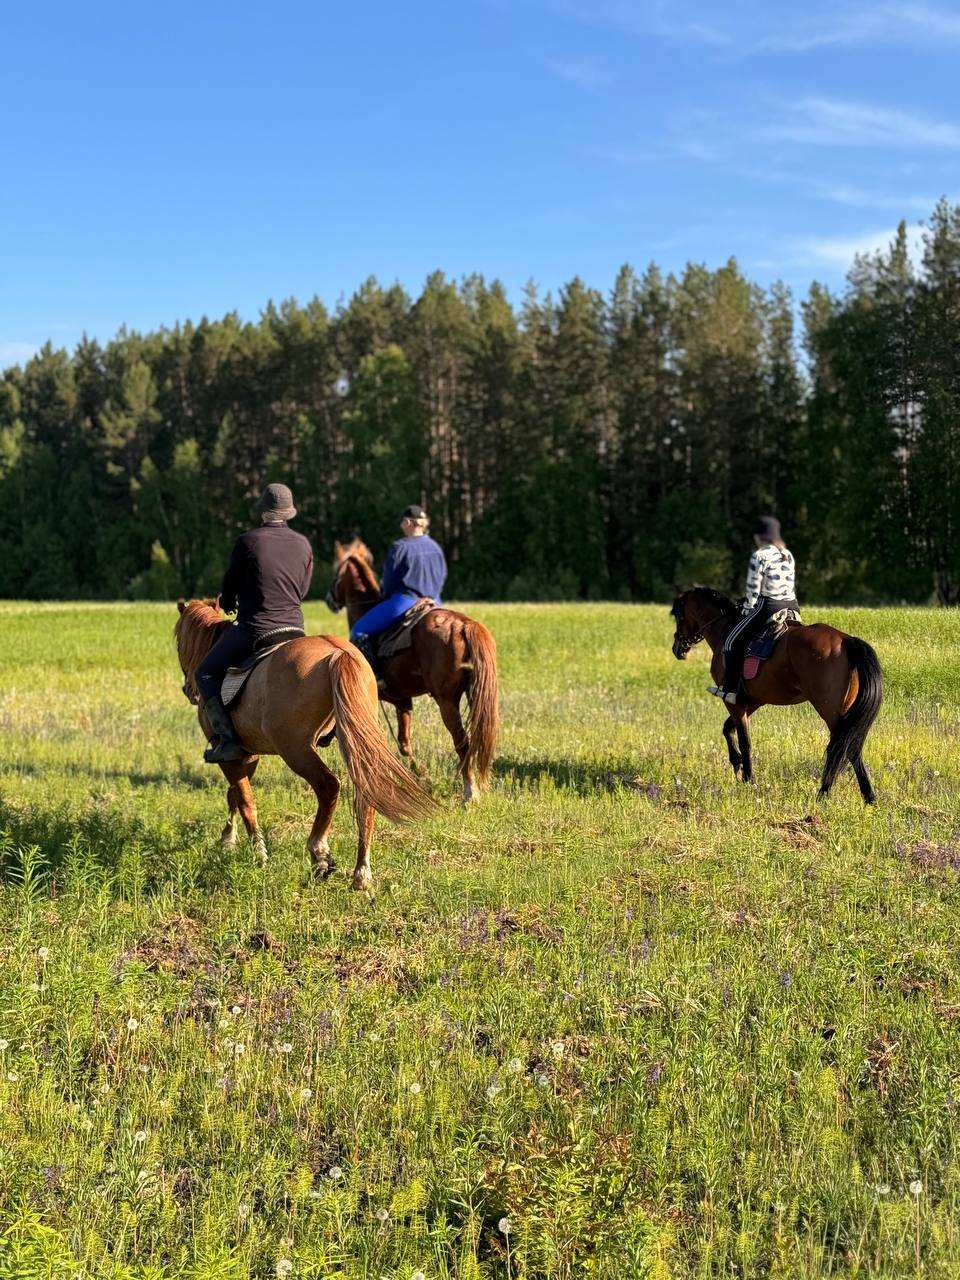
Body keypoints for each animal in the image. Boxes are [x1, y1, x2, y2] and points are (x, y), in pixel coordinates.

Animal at [175, 599, 435, 890]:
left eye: (178, 641)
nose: (188, 690)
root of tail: (338, 653)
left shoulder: (230, 754)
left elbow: (243, 800)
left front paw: (254, 852)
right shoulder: (248, 754)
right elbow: (235, 795)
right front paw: (228, 841)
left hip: (296, 750)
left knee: (329, 786)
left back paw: (319, 854)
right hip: (354, 740)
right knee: (366, 793)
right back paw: (361, 874)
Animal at [327, 537, 499, 798]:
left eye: (337, 574)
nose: (329, 599)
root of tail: (464, 625)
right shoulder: (403, 700)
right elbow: (404, 743)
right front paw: (420, 776)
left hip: (447, 701)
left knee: (462, 742)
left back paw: (470, 793)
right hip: (474, 694)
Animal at [670, 586, 885, 803]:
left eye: (679, 616)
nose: (677, 649)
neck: (724, 629)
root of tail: (845, 639)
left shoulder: (734, 702)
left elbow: (744, 740)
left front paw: (747, 777)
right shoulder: (753, 701)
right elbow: (728, 729)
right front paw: (739, 767)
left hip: (830, 711)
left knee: (843, 747)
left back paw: (825, 793)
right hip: (845, 711)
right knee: (851, 746)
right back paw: (868, 797)